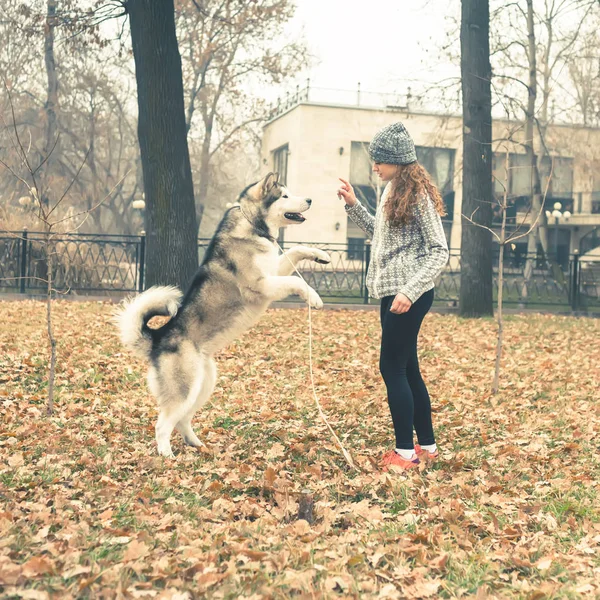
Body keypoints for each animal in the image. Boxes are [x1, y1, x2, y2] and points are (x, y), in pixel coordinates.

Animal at [117, 176, 330, 458]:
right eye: (284, 195)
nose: (309, 200)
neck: (253, 225)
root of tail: (158, 337)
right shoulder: (261, 285)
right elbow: (296, 280)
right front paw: (313, 297)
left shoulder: (274, 271)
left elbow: (296, 250)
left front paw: (321, 255)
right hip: (185, 389)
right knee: (163, 424)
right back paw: (168, 456)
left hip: (203, 384)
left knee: (182, 420)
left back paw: (197, 445)